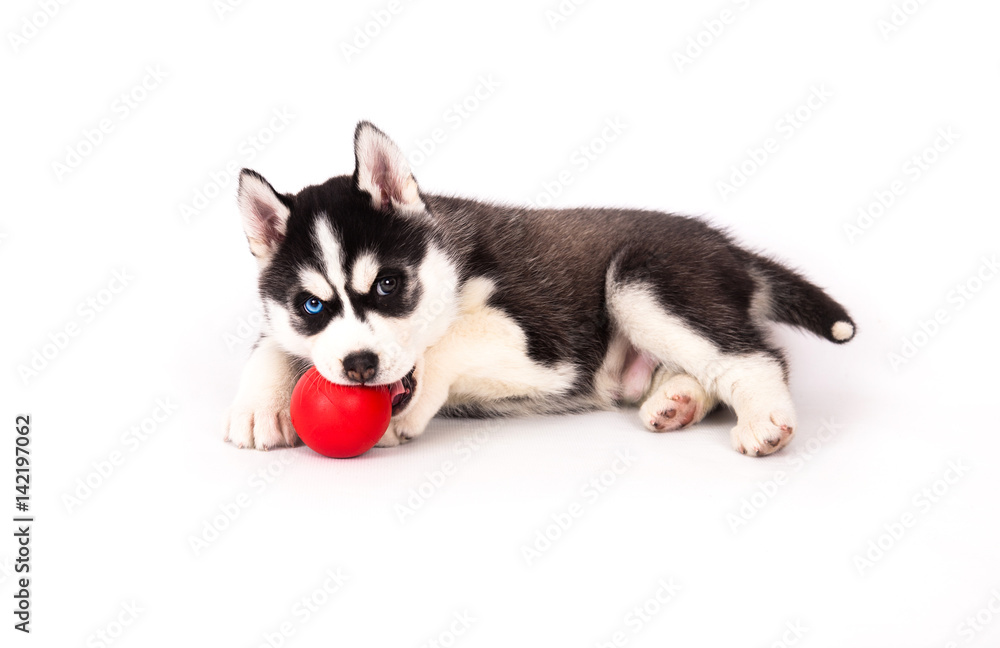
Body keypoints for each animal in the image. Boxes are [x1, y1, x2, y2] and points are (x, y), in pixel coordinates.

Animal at [223, 121, 856, 456]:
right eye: (312, 305)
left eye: (387, 284)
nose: (358, 365)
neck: (452, 262)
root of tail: (727, 245)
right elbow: (274, 340)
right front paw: (258, 403)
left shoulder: (547, 342)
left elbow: (449, 342)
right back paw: (677, 401)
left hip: (640, 279)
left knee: (754, 356)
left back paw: (762, 418)